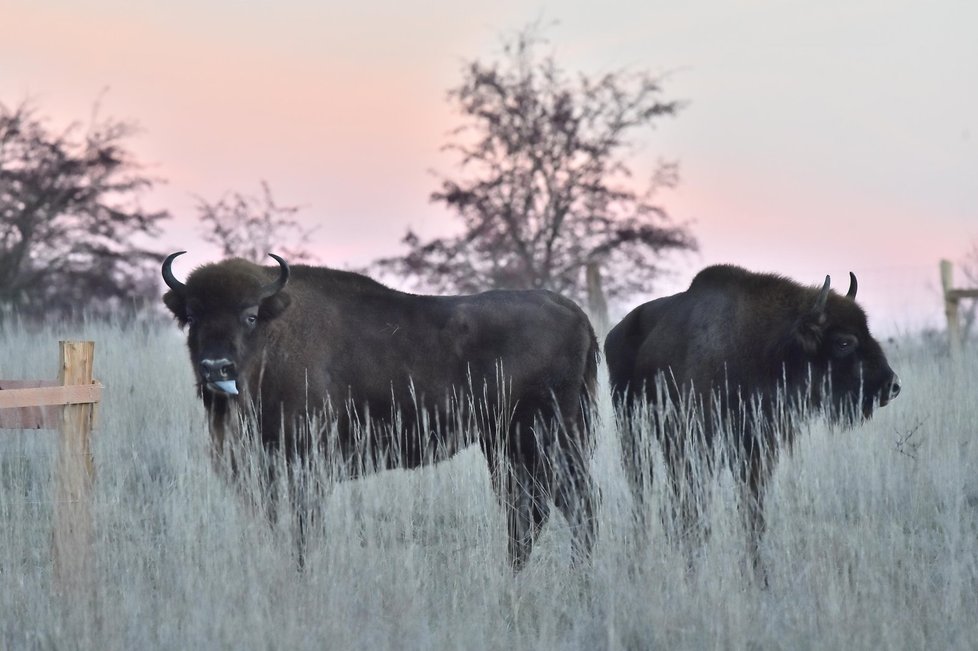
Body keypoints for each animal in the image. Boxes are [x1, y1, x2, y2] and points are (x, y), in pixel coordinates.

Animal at [162, 252, 596, 568]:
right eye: (193, 316)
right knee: (528, 512)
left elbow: (303, 529)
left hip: (547, 437)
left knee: (576, 504)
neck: (276, 335)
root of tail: (572, 310)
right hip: (505, 444)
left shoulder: (306, 465)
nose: (215, 367)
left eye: (250, 315)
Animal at [604, 262, 900, 572]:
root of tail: (616, 332)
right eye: (843, 342)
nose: (892, 386)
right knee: (643, 489)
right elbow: (697, 511)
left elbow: (752, 514)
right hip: (631, 427)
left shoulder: (757, 450)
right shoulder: (699, 447)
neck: (766, 347)